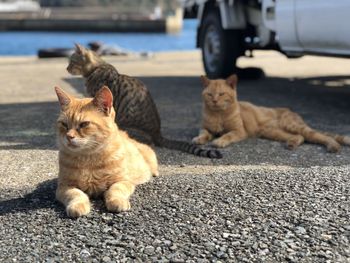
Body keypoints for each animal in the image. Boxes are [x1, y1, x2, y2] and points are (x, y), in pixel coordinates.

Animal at [54, 86, 159, 219]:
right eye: (64, 124)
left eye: (84, 124)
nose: (69, 136)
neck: (88, 159)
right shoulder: (64, 186)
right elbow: (76, 194)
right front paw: (78, 205)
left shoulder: (123, 181)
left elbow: (115, 190)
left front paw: (117, 201)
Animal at [193, 74, 350, 153]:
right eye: (209, 94)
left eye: (221, 94)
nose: (214, 101)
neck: (218, 115)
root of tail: (290, 110)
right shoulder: (205, 128)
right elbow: (204, 133)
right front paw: (199, 139)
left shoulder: (239, 131)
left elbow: (227, 135)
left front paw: (219, 141)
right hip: (273, 132)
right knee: (300, 137)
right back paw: (292, 144)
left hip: (293, 126)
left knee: (318, 136)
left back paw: (333, 146)